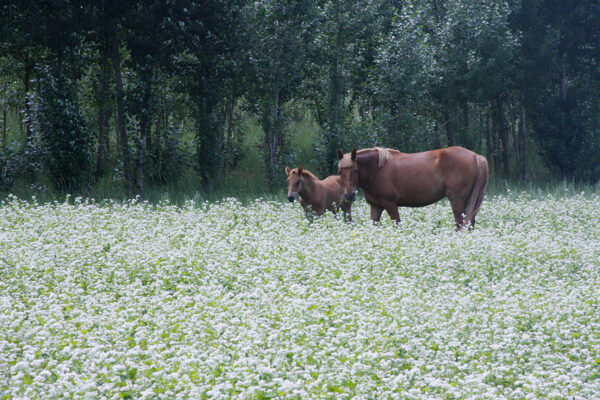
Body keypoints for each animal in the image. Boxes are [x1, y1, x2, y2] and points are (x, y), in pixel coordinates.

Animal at [338, 147, 488, 230]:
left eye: (355, 170)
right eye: (340, 171)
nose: (349, 196)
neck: (377, 169)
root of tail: (476, 156)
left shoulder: (390, 204)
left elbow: (397, 225)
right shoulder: (376, 206)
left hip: (457, 200)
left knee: (460, 223)